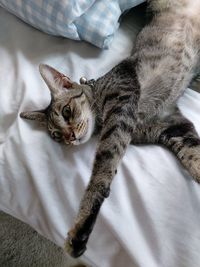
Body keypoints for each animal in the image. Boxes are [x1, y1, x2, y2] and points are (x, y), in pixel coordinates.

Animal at [19, 0, 200, 260]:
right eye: (56, 136)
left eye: (67, 111)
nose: (70, 137)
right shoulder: (173, 125)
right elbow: (194, 156)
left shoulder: (122, 108)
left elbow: (102, 171)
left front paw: (80, 228)